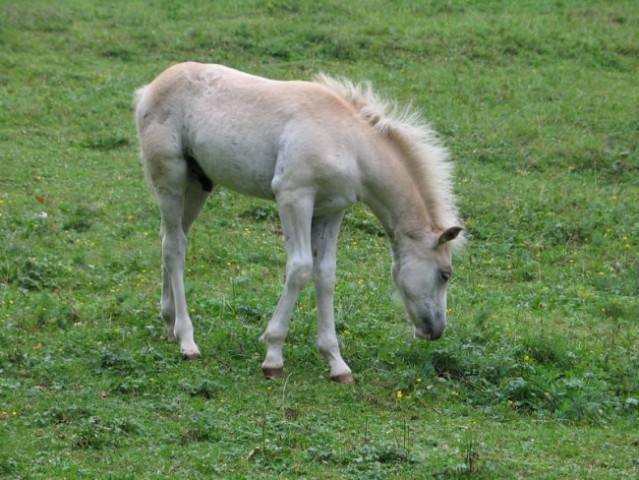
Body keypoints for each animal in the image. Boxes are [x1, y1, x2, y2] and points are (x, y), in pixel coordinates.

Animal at [136, 62, 464, 382]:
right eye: (445, 274)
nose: (436, 330)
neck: (351, 144)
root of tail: (148, 89)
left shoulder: (331, 209)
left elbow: (325, 274)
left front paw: (336, 362)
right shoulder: (294, 197)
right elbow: (300, 268)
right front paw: (273, 355)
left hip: (197, 185)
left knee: (171, 238)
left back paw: (169, 324)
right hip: (170, 179)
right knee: (174, 247)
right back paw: (187, 340)